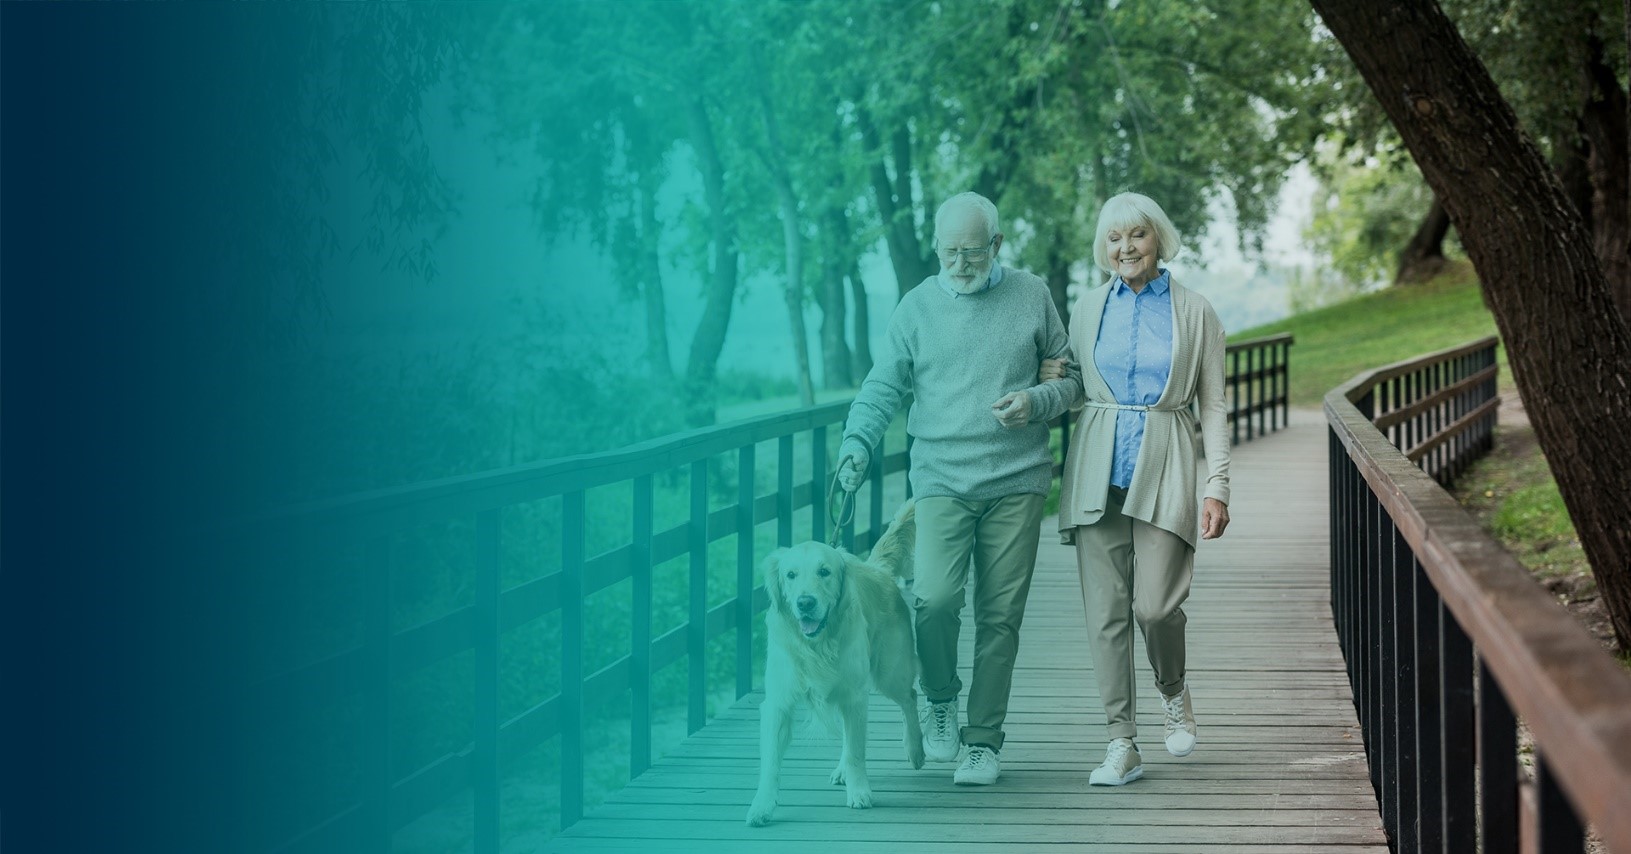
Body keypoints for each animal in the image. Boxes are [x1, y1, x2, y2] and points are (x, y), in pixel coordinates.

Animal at [746, 495, 926, 824]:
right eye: (790, 575)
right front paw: (762, 805)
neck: (816, 645)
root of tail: (877, 569)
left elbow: (857, 751)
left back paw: (915, 748)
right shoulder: (779, 702)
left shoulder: (854, 694)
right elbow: (770, 762)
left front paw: (859, 792)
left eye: (824, 572)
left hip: (890, 672)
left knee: (909, 697)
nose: (805, 603)